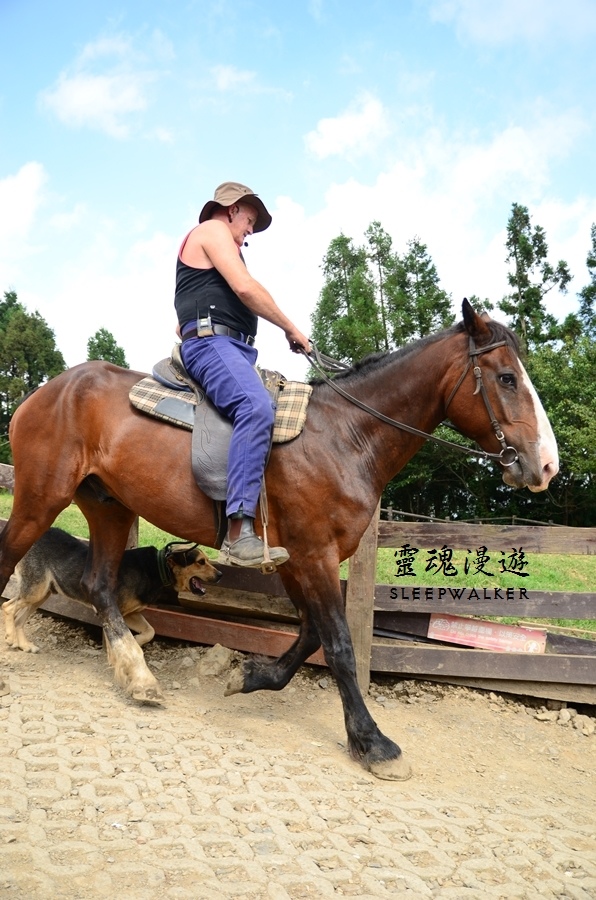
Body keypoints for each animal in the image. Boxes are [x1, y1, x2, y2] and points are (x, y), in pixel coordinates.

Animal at [0, 300, 558, 780]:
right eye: (507, 378)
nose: (547, 466)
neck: (345, 437)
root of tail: (46, 392)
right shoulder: (315, 555)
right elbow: (338, 643)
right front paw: (371, 742)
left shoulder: (296, 560)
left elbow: (310, 632)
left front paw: (251, 677)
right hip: (40, 498)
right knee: (11, 562)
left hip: (108, 507)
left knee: (99, 584)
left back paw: (137, 676)